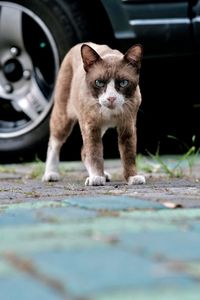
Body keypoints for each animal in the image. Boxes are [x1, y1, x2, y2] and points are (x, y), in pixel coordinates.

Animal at [42, 41, 145, 185]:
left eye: (123, 83)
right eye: (99, 82)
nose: (111, 98)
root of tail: (79, 44)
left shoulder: (127, 125)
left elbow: (128, 154)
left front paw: (132, 177)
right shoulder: (90, 125)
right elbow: (94, 152)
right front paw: (96, 177)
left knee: (83, 151)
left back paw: (103, 174)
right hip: (63, 118)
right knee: (54, 143)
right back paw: (50, 174)